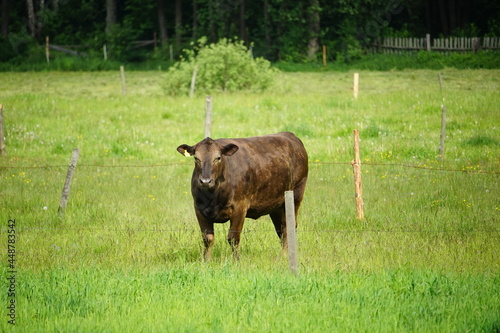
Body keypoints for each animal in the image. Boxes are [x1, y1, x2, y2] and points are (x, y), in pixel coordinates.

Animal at [176, 130, 308, 260]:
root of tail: (289, 134)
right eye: (196, 158)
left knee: (288, 227)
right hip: (276, 205)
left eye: (218, 158)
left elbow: (233, 238)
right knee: (280, 228)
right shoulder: (199, 209)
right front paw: (206, 261)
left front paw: (236, 260)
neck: (214, 196)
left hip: (295, 196)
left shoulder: (240, 208)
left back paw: (285, 255)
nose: (205, 181)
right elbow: (208, 239)